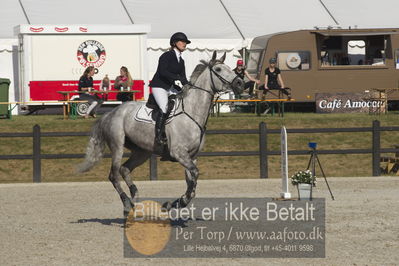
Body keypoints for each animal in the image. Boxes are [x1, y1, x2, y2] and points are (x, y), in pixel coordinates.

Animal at [76, 52, 242, 216]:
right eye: (219, 69)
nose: (240, 83)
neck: (192, 111)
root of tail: (110, 113)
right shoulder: (179, 153)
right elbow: (194, 175)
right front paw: (176, 203)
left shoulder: (192, 156)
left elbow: (192, 183)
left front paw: (175, 203)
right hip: (117, 145)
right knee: (114, 175)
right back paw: (127, 204)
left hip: (142, 152)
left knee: (125, 169)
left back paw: (134, 198)